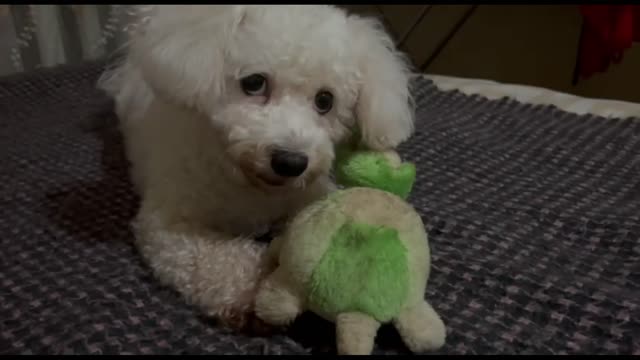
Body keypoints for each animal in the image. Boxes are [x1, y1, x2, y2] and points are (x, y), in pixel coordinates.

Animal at [96, 4, 416, 332]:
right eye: (254, 83)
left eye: (325, 100)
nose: (291, 163)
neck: (250, 185)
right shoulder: (169, 225)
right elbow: (211, 258)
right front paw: (251, 290)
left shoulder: (307, 195)